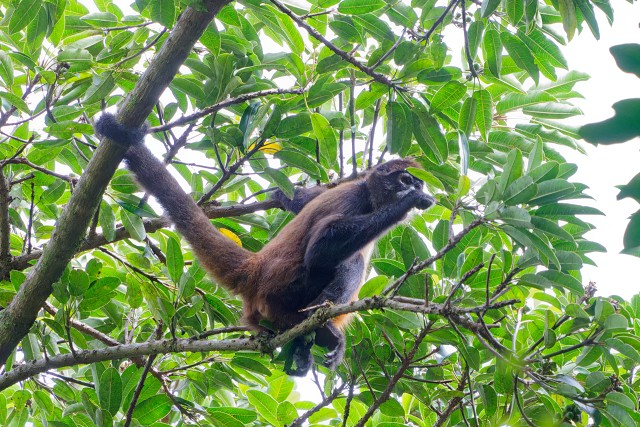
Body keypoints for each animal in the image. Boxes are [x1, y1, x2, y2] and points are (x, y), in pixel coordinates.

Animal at [94, 113, 436, 375]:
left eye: (418, 181)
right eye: (406, 180)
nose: (416, 189)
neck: (369, 193)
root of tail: (256, 269)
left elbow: (295, 198)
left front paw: (285, 195)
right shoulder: (354, 196)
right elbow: (319, 250)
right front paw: (406, 205)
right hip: (282, 289)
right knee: (347, 261)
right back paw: (318, 327)